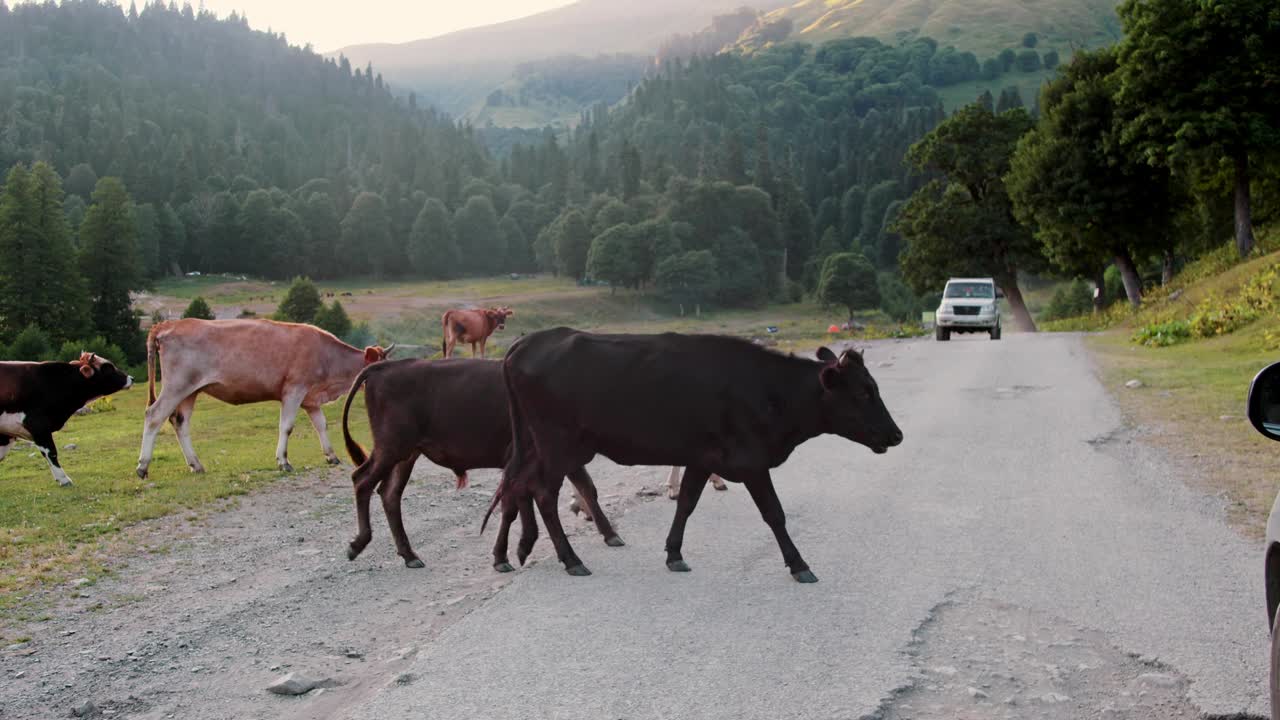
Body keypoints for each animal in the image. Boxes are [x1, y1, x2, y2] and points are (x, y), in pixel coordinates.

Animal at [0, 351, 135, 484]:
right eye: (108, 368)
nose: (131, 378)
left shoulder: (7, 433)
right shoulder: (38, 425)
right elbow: (51, 452)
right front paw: (63, 479)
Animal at [136, 317, 389, 476]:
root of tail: (169, 324)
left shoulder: (311, 398)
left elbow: (321, 425)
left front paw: (331, 456)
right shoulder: (294, 389)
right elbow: (287, 426)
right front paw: (283, 461)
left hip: (191, 390)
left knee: (180, 422)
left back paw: (196, 465)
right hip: (176, 385)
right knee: (154, 415)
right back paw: (142, 467)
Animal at [337, 356, 622, 568]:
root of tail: (384, 367)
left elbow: (587, 488)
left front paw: (611, 534)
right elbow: (513, 506)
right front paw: (505, 555)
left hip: (406, 455)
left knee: (389, 493)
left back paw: (409, 556)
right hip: (391, 448)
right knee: (362, 481)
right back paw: (358, 544)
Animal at [488, 327, 901, 579]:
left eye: (873, 387)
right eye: (863, 392)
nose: (896, 434)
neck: (769, 390)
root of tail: (526, 343)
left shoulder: (703, 458)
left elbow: (686, 503)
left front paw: (674, 554)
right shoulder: (752, 462)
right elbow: (775, 514)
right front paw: (799, 564)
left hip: (536, 444)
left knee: (517, 486)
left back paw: (512, 552)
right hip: (556, 444)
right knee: (543, 494)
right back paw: (571, 559)